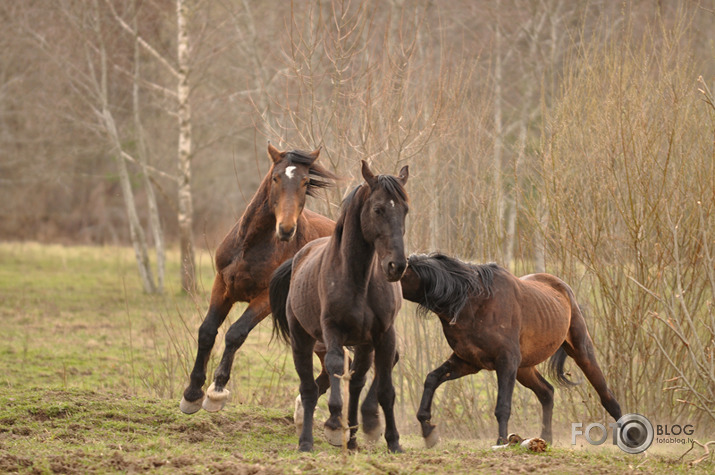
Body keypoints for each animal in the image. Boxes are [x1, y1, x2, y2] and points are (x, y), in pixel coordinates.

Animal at [179, 143, 338, 414]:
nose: (286, 229)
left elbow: (236, 333)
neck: (251, 247)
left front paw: (217, 391)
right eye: (276, 177)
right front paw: (192, 393)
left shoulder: (265, 299)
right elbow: (207, 331)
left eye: (305, 181)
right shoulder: (222, 285)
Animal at [272, 161, 412, 454]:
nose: (396, 266)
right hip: (302, 340)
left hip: (364, 343)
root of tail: (299, 256)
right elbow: (335, 366)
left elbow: (386, 390)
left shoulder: (384, 335)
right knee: (309, 389)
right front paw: (334, 425)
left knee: (356, 382)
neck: (359, 278)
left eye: (405, 209)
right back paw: (307, 441)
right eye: (378, 209)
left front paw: (393, 441)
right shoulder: (332, 330)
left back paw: (354, 436)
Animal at [400, 255, 624, 448]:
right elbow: (432, 378)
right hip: (524, 368)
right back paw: (545, 439)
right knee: (547, 392)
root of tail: (565, 290)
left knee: (606, 395)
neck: (474, 303)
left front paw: (501, 442)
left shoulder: (505, 362)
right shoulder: (467, 362)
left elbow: (503, 407)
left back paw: (628, 435)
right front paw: (428, 429)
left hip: (581, 352)